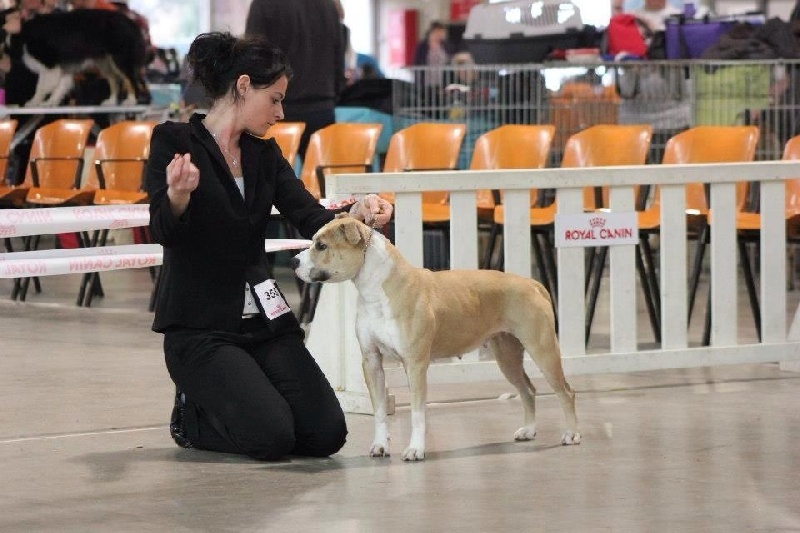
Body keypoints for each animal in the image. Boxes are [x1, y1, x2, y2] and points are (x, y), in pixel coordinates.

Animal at [4, 8, 148, 106]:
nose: (5, 66)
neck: (23, 36)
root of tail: (131, 23)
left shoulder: (50, 65)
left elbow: (42, 87)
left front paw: (34, 102)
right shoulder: (62, 68)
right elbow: (61, 86)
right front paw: (51, 102)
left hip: (119, 59)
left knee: (130, 79)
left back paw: (131, 100)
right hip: (104, 62)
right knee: (114, 79)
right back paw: (111, 101)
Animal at [290, 214, 580, 460]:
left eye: (321, 245)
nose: (294, 261)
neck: (378, 289)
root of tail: (532, 284)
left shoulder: (415, 364)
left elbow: (418, 412)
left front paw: (415, 449)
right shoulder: (371, 361)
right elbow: (380, 411)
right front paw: (381, 445)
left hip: (542, 349)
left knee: (565, 391)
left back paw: (571, 434)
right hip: (507, 356)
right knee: (528, 390)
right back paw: (529, 430)